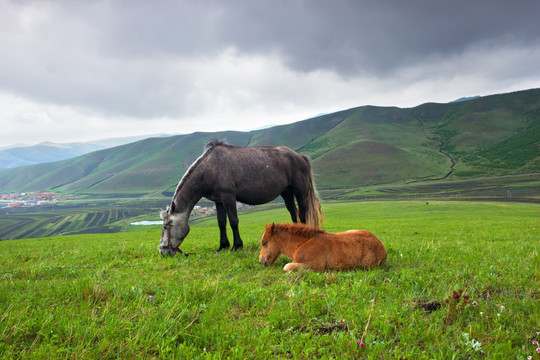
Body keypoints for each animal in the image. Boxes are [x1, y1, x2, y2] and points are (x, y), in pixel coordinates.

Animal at [158, 139, 322, 256]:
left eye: (166, 226)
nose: (162, 251)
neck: (209, 169)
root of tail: (300, 156)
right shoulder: (218, 201)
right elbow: (221, 223)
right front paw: (223, 246)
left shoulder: (228, 197)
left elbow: (233, 221)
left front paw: (237, 245)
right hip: (286, 192)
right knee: (293, 213)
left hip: (300, 192)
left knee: (302, 214)